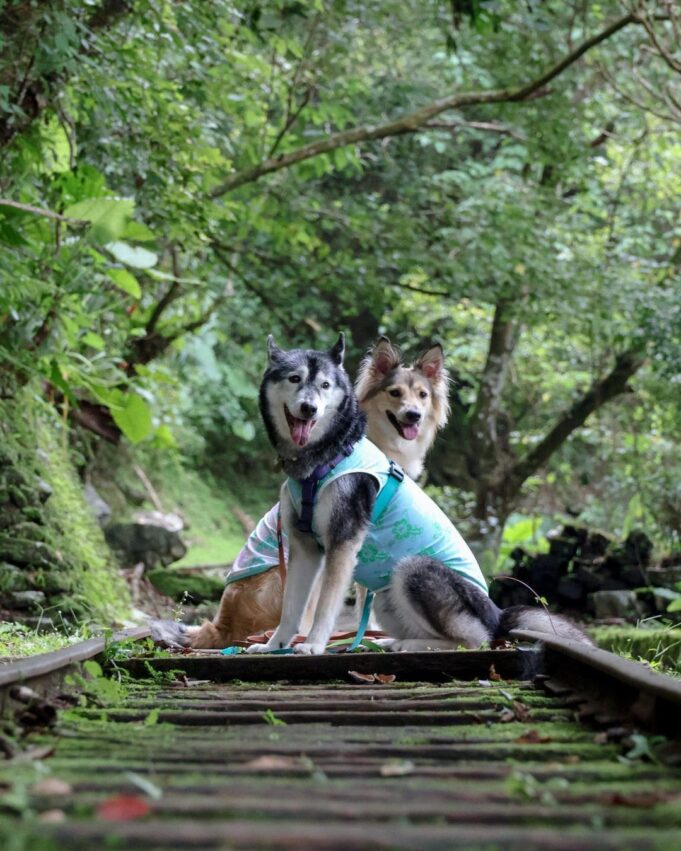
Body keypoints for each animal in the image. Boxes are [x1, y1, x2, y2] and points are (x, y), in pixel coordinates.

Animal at [181, 336, 448, 648]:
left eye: (422, 395)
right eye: (395, 393)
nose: (413, 415)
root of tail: (222, 623)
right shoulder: (339, 544)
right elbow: (340, 602)